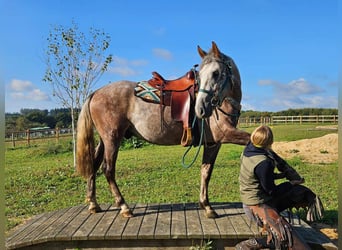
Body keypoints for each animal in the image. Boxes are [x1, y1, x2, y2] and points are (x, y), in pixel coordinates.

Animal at [76, 42, 250, 218]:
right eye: (201, 76)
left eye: (215, 73)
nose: (200, 109)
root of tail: (96, 92)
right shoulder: (225, 134)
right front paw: (208, 206)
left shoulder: (213, 143)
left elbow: (205, 171)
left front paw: (205, 205)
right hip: (112, 139)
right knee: (108, 169)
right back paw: (124, 206)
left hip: (104, 140)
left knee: (93, 165)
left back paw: (93, 204)